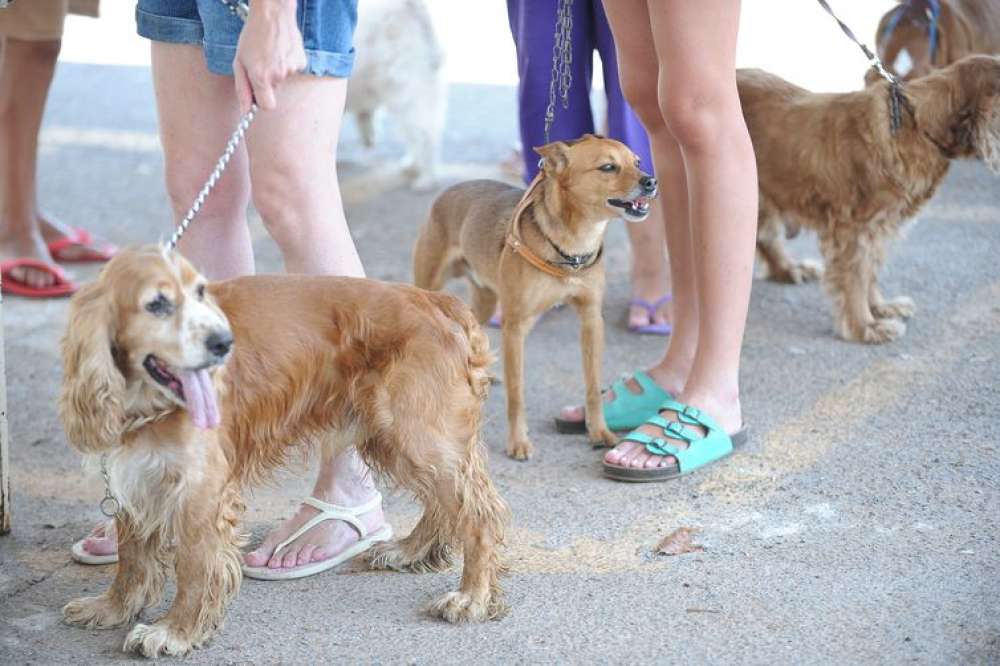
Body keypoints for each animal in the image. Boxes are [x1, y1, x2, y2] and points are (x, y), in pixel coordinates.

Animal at [57, 246, 508, 656]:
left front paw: (175, 631)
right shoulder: (137, 476)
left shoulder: (200, 490)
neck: (147, 400)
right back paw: (410, 550)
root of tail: (438, 302)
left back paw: (471, 597)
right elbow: (131, 559)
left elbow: (194, 565)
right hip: (397, 438)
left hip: (415, 434)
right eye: (157, 303)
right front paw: (112, 608)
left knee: (479, 513)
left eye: (200, 292)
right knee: (446, 503)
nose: (224, 343)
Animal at [412, 134, 656, 456]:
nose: (651, 181)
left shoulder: (591, 320)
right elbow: (517, 393)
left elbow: (592, 386)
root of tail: (448, 191)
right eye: (608, 167)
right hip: (431, 285)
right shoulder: (515, 328)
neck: (573, 247)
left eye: (637, 162)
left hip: (486, 300)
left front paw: (599, 431)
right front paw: (518, 442)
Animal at [744, 54, 1000, 342]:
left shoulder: (878, 227)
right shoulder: (852, 230)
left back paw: (788, 269)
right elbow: (856, 277)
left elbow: (870, 272)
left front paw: (880, 308)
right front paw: (865, 326)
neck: (916, 123)